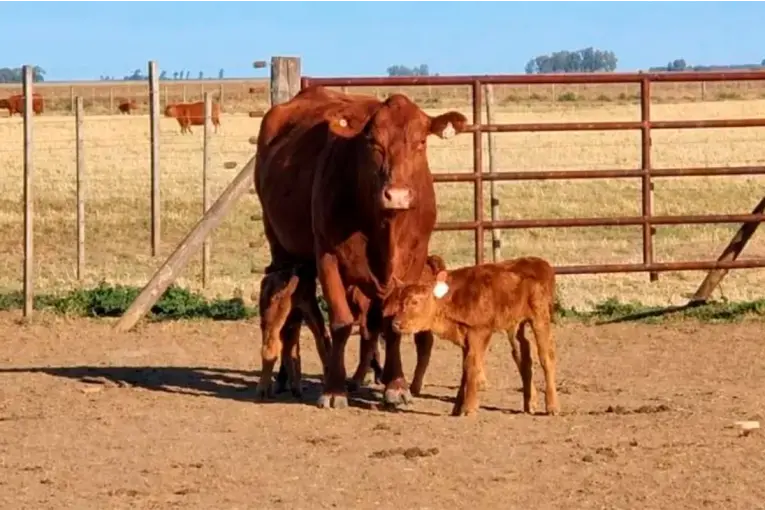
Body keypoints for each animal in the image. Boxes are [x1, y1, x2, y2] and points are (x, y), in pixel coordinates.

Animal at [254, 263, 331, 399]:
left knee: (269, 349)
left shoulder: (291, 327)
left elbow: (291, 355)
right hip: (277, 321)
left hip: (266, 321)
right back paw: (263, 391)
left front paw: (295, 388)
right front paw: (297, 389)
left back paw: (267, 389)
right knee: (272, 350)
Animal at [383, 256, 559, 417]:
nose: (395, 323)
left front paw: (469, 407)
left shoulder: (478, 332)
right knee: (522, 355)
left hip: (540, 319)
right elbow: (465, 369)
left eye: (415, 302)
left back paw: (552, 406)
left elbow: (472, 365)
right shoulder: (465, 337)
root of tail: (540, 263)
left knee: (546, 357)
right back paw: (530, 403)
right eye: (399, 301)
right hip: (515, 325)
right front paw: (457, 408)